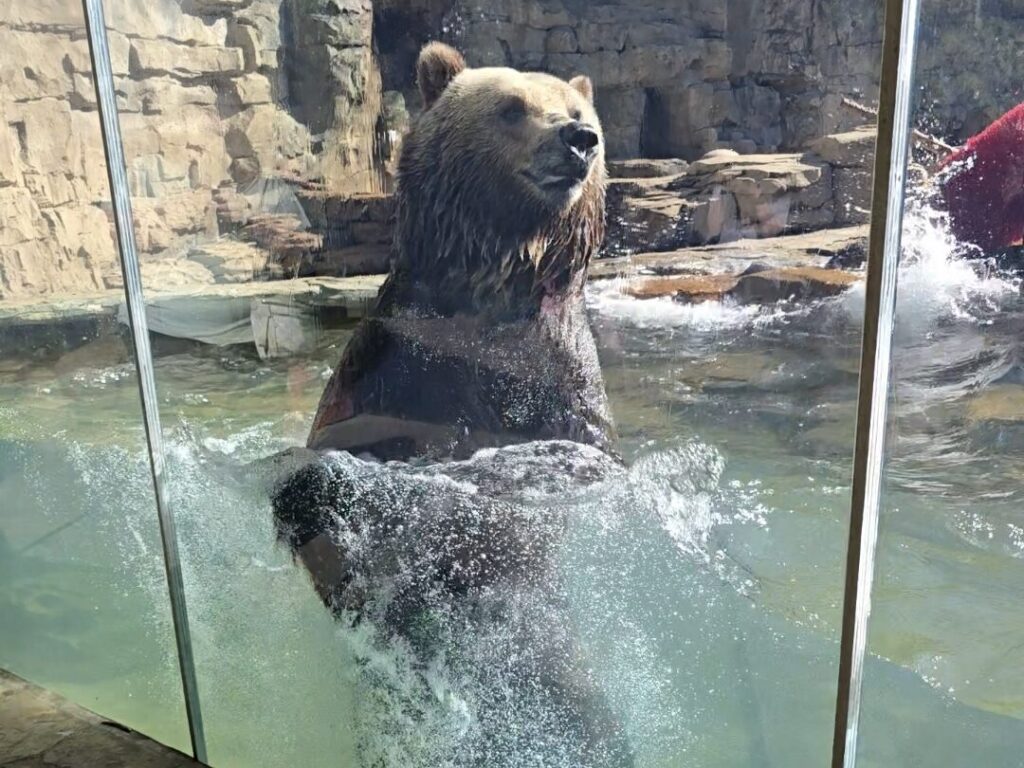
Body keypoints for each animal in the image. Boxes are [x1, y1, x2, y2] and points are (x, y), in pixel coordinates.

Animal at [269, 43, 632, 766]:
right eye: (512, 107)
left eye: (577, 108)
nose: (578, 139)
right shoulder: (392, 367)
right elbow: (336, 458)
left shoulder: (564, 385)